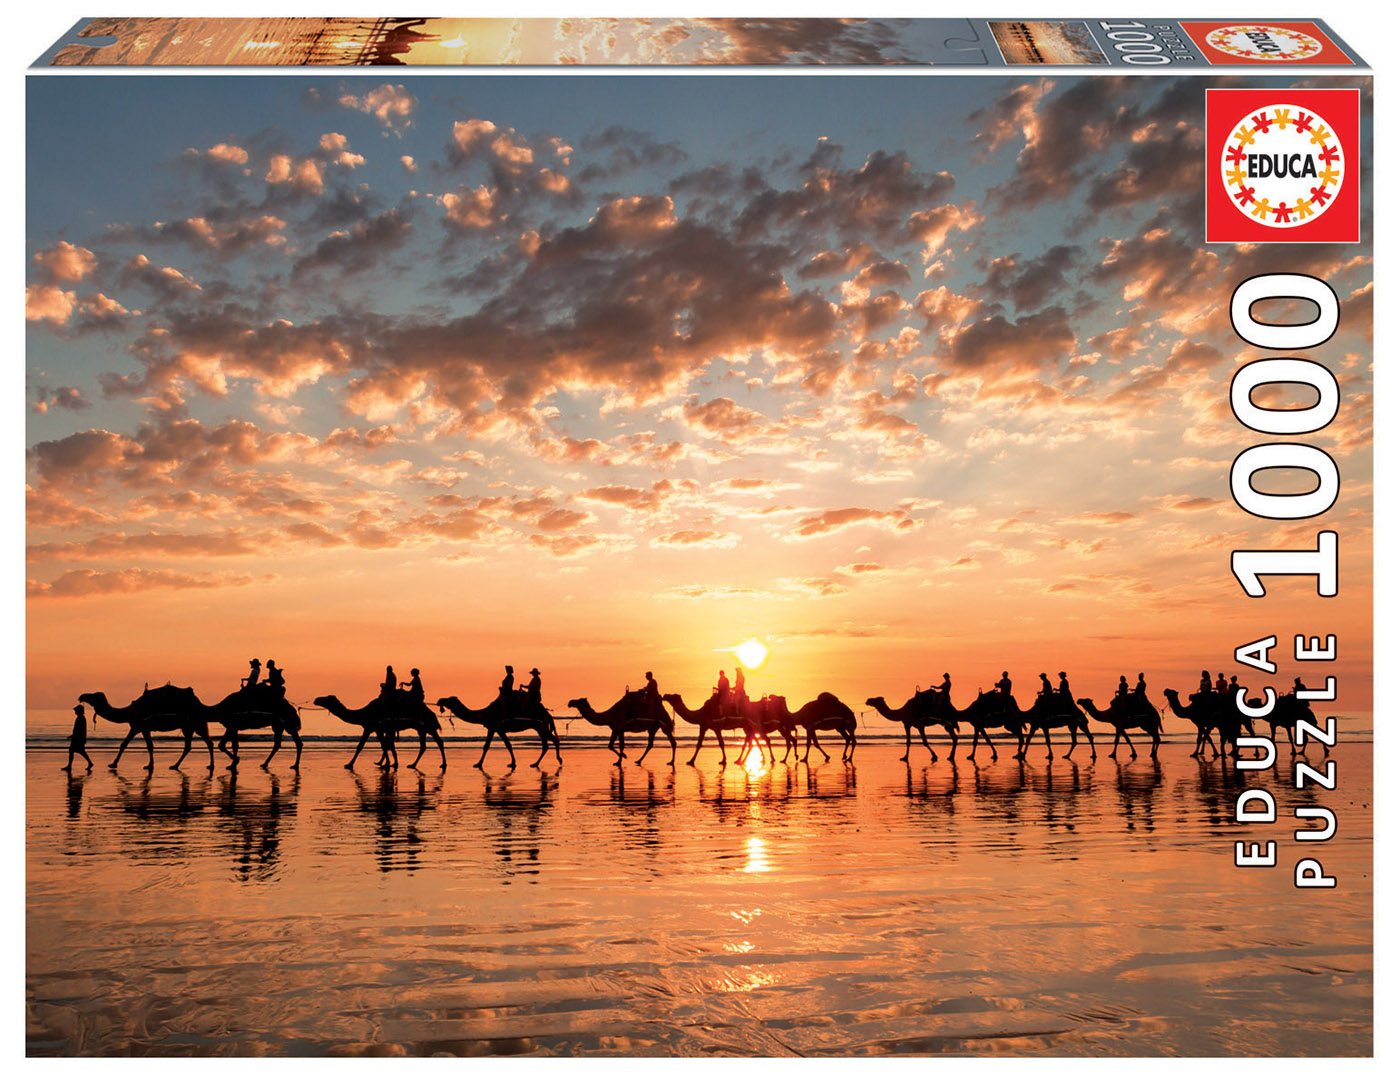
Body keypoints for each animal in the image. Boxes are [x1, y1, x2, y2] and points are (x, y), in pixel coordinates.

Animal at [79, 689, 214, 773]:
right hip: (188, 727)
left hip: (196, 724)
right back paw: (175, 765)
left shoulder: (137, 727)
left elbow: (124, 744)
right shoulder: (144, 729)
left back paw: (210, 765)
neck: (128, 712)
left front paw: (113, 764)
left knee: (208, 743)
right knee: (189, 746)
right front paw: (149, 765)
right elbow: (149, 746)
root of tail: (200, 704)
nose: (82, 696)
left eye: (94, 695)